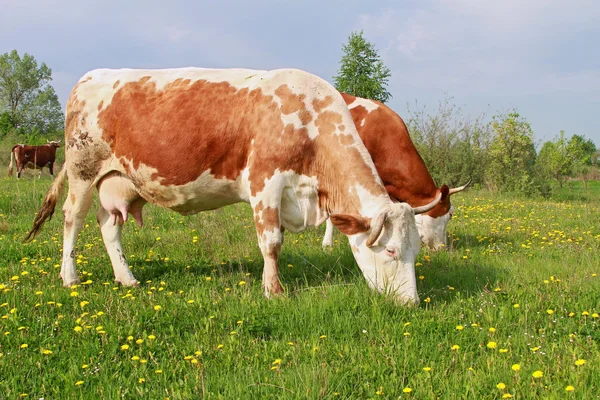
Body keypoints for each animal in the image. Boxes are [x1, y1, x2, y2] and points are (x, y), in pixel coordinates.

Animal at [24, 68, 440, 306]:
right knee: (72, 218)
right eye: (390, 251)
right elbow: (271, 242)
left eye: (415, 250)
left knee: (109, 223)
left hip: (121, 180)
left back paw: (127, 278)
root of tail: (91, 75)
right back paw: (70, 277)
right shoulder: (265, 183)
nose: (411, 303)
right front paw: (274, 292)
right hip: (83, 168)